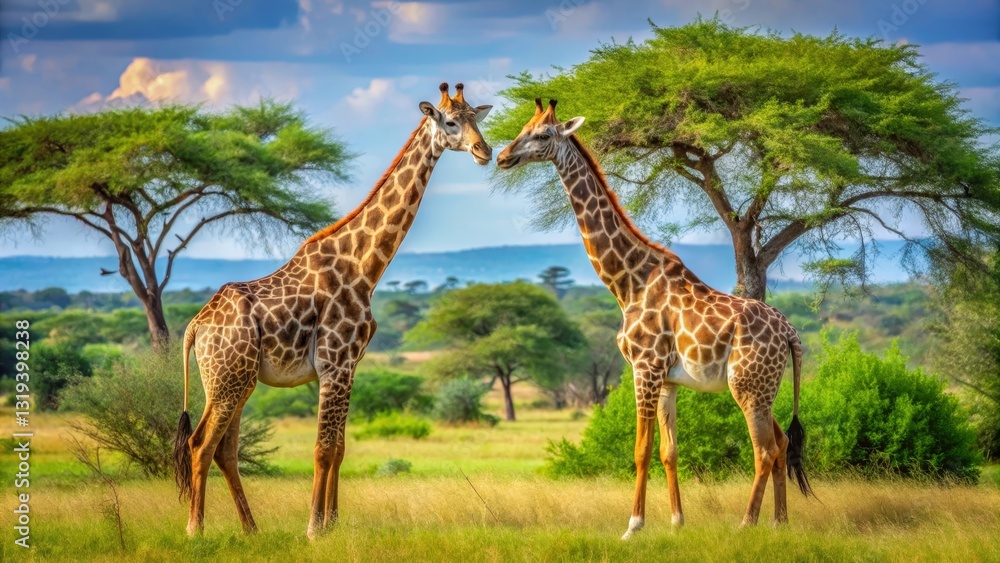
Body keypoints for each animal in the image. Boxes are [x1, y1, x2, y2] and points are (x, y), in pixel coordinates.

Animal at [172, 83, 492, 539]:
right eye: (450, 122)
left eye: (476, 119)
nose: (485, 150)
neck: (364, 266)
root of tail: (195, 326)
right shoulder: (334, 363)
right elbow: (323, 449)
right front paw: (313, 529)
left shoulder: (350, 365)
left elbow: (339, 448)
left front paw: (333, 524)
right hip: (226, 379)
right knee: (200, 444)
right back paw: (195, 531)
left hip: (237, 380)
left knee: (224, 449)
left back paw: (252, 530)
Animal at [496, 99, 813, 538]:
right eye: (523, 128)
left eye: (543, 135)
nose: (503, 156)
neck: (629, 282)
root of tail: (790, 333)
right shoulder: (668, 380)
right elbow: (669, 450)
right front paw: (678, 521)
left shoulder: (644, 368)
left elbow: (641, 449)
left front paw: (633, 526)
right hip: (765, 388)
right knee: (782, 444)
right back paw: (779, 524)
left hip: (747, 385)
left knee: (764, 449)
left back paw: (746, 523)